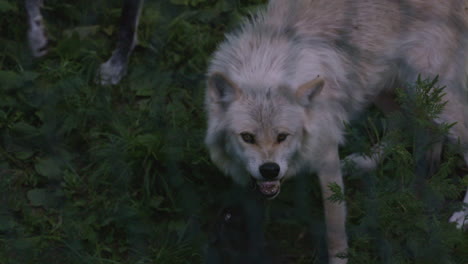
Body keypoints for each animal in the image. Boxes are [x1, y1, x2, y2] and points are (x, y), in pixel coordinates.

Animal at [206, 1, 468, 262]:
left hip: (432, 96)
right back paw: (365, 162)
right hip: (379, 84)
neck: (266, 64)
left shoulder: (326, 155)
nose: (270, 170)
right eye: (247, 137)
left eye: (283, 136)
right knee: (401, 119)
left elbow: (335, 233)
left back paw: (462, 216)